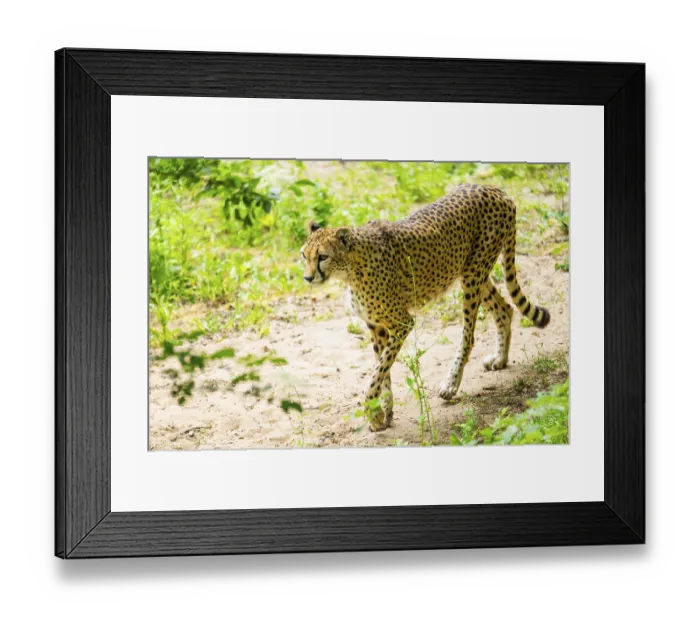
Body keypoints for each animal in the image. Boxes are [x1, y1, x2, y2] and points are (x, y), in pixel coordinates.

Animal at [301, 183, 550, 432]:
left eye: (322, 256)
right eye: (304, 255)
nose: (307, 278)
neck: (351, 268)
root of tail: (494, 189)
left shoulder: (402, 323)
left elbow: (378, 372)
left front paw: (373, 411)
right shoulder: (376, 326)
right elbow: (383, 372)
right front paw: (383, 413)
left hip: (473, 275)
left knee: (469, 336)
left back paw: (451, 384)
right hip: (471, 271)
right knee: (505, 309)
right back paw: (500, 359)